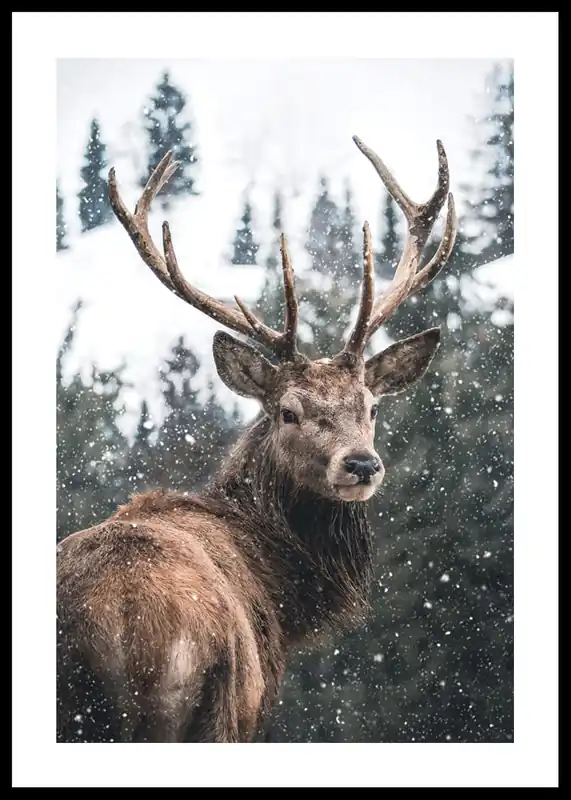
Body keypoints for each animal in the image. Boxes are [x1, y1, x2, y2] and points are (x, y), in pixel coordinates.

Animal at [56, 134, 456, 743]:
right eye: (289, 412)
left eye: (371, 406)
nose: (362, 464)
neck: (279, 588)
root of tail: (118, 628)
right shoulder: (253, 705)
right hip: (206, 707)